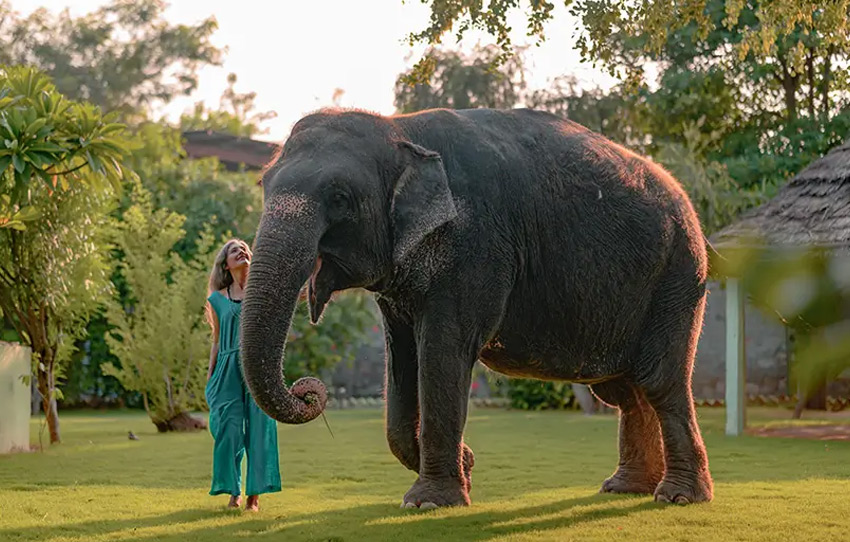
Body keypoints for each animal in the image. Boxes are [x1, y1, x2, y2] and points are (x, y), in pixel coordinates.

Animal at [239, 106, 714, 509]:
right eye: (263, 185)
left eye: (339, 197)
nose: (308, 390)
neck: (399, 128)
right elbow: (402, 362)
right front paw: (462, 471)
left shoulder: (476, 247)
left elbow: (442, 354)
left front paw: (430, 502)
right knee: (625, 392)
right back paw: (624, 489)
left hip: (678, 276)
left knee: (658, 381)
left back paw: (677, 497)